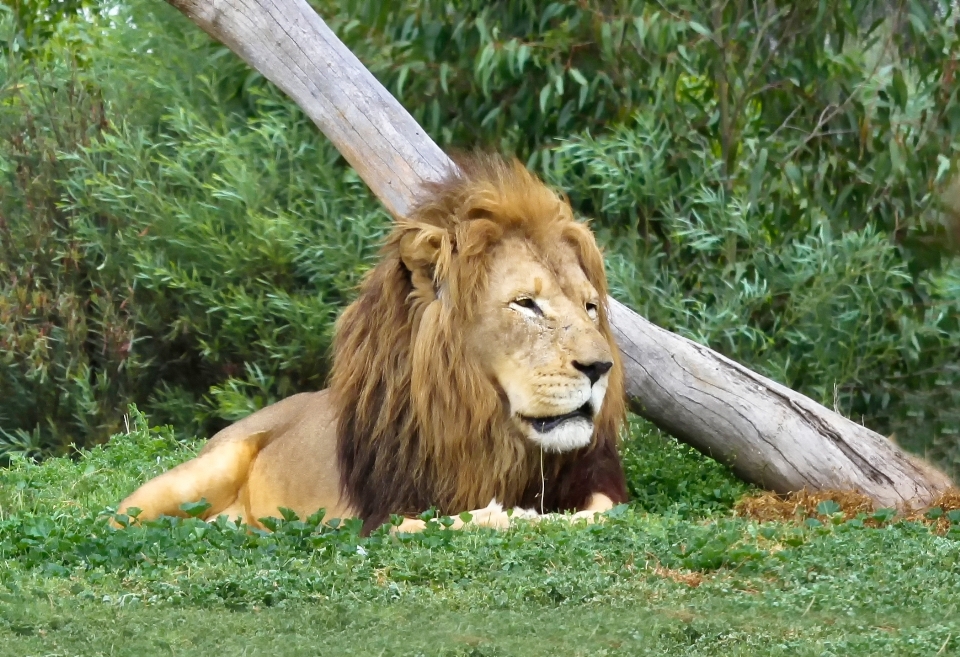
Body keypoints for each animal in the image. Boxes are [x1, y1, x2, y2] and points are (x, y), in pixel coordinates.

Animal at [118, 155, 632, 532]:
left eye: (589, 307)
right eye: (526, 304)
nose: (600, 368)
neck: (486, 427)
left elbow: (597, 513)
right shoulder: (383, 514)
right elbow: (451, 521)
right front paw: (507, 515)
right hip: (204, 470)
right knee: (119, 517)